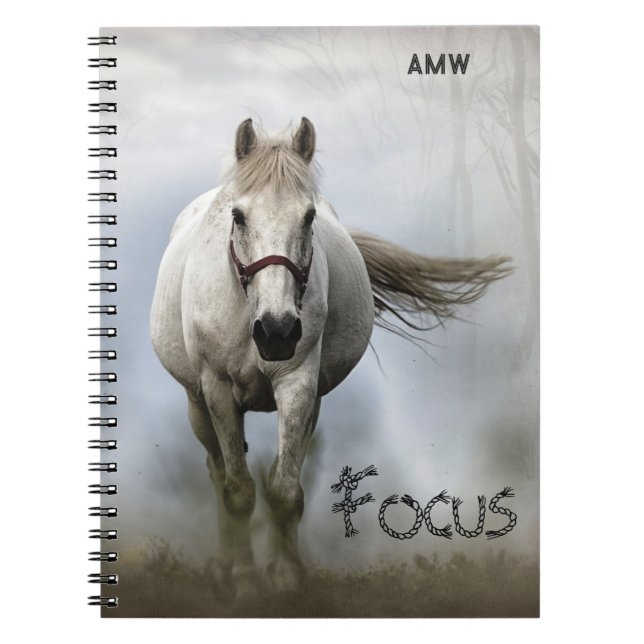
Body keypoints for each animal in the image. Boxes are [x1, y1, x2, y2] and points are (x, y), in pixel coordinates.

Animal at [150, 117, 510, 595]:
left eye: (309, 216)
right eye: (239, 215)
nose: (277, 331)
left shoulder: (299, 384)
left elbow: (285, 491)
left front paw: (286, 577)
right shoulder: (218, 390)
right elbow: (238, 490)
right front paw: (244, 581)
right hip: (197, 404)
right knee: (216, 471)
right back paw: (225, 565)